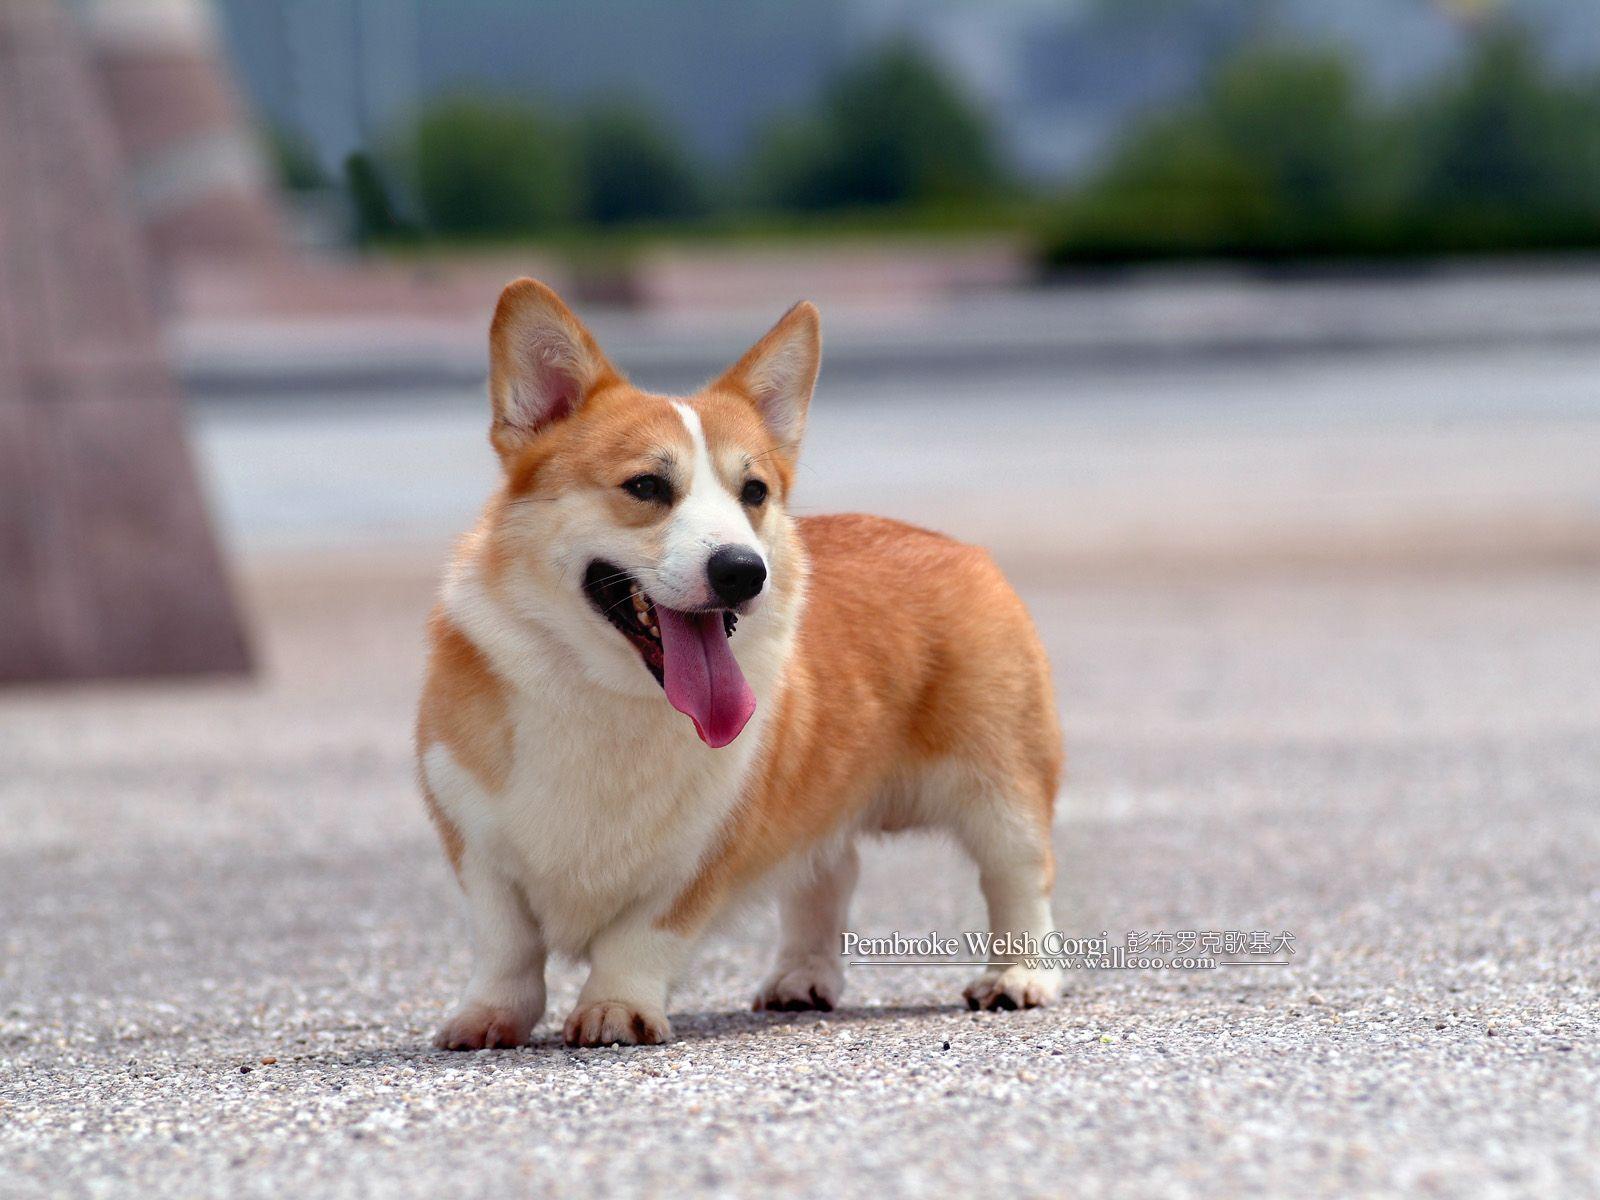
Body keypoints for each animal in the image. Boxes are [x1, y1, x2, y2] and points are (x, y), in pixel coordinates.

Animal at [416, 281, 1062, 1049]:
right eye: (645, 487)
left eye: (753, 492)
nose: (742, 571)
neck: (610, 695)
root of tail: (958, 546)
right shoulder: (476, 845)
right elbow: (506, 944)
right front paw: (488, 1017)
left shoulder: (702, 854)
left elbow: (641, 938)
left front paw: (614, 1010)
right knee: (828, 873)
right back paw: (801, 978)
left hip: (1001, 785)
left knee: (1018, 875)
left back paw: (1019, 977)